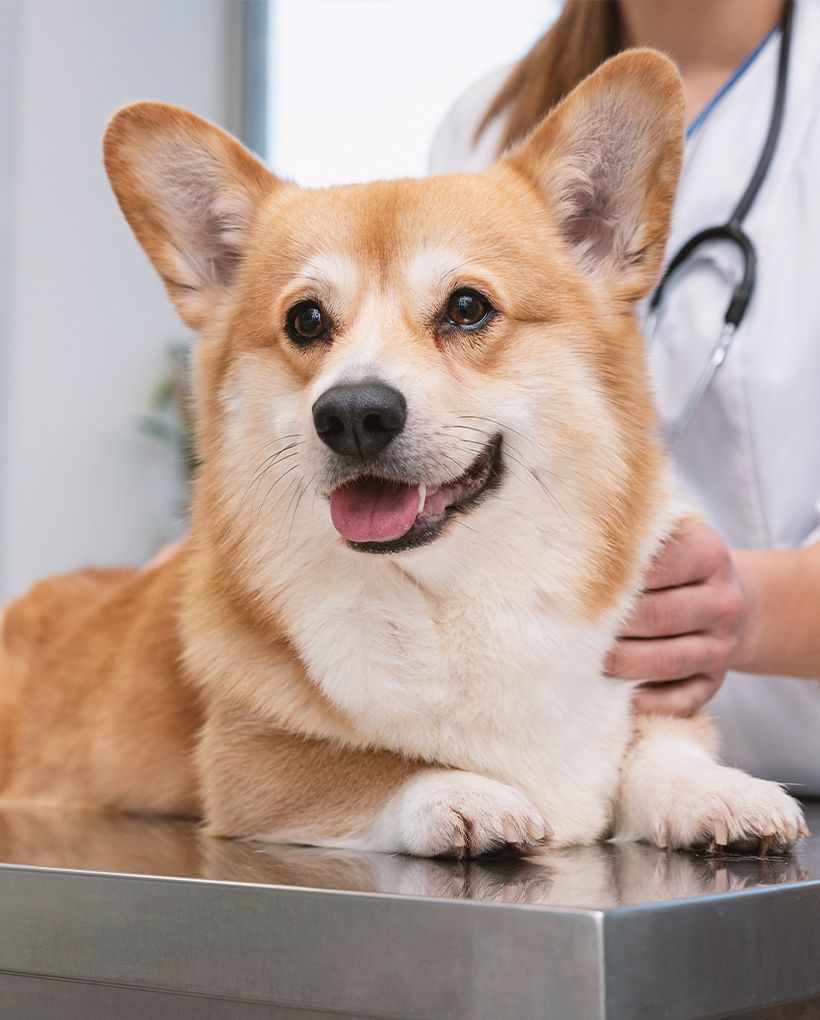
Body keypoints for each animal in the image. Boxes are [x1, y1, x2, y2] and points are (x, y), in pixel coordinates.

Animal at [0, 51, 807, 856]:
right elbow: (373, 764)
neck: (448, 594)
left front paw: (715, 793)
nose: (354, 414)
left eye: (468, 308)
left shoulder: (653, 695)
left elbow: (661, 748)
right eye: (306, 320)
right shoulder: (247, 762)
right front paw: (465, 793)